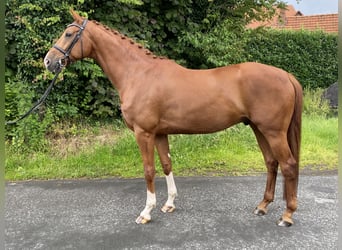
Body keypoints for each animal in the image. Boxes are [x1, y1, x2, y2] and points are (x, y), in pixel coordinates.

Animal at [44, 10, 302, 227]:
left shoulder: (144, 133)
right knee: (271, 163)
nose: (49, 61)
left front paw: (146, 212)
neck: (138, 74)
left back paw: (287, 215)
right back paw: (262, 206)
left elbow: (149, 170)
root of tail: (286, 75)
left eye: (69, 34)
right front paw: (169, 204)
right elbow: (167, 164)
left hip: (273, 132)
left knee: (288, 165)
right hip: (259, 129)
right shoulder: (160, 133)